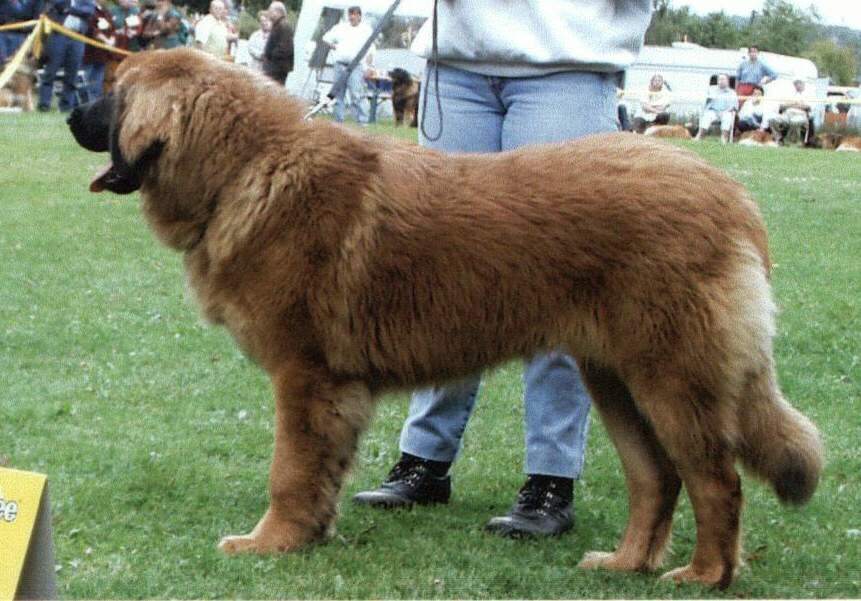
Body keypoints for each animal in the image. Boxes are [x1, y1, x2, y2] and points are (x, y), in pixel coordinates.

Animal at [67, 49, 822, 588]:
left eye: (112, 92)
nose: (73, 114)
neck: (245, 169)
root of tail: (730, 193)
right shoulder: (333, 390)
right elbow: (320, 474)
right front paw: (311, 535)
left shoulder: (305, 377)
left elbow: (289, 471)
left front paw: (269, 542)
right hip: (615, 376)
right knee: (656, 477)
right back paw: (625, 563)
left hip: (671, 377)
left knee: (715, 479)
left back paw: (704, 575)